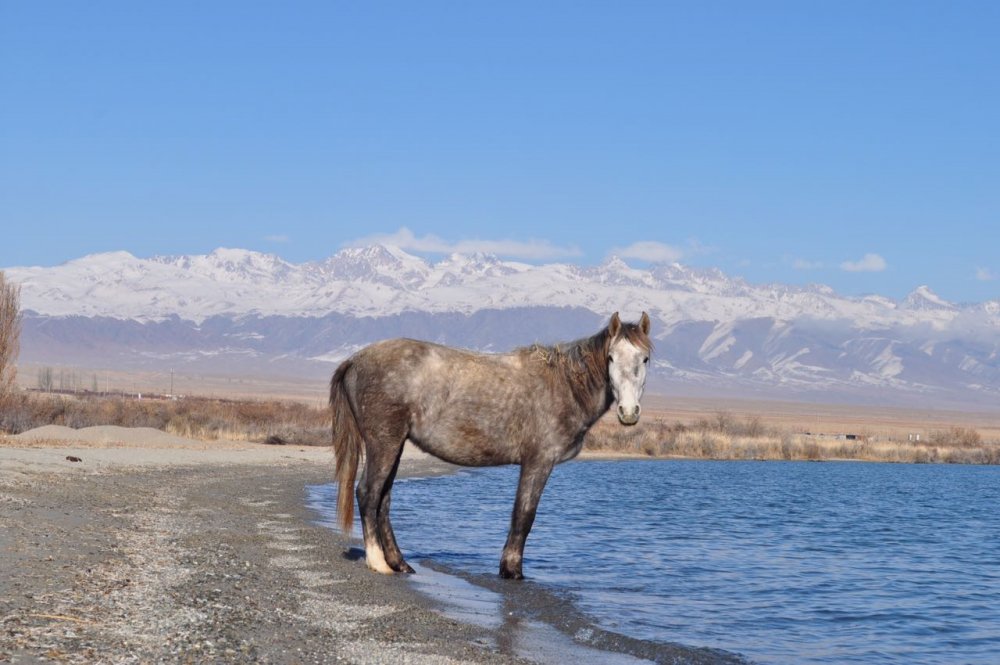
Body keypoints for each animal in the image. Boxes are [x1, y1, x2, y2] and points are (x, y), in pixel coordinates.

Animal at [332, 312, 652, 576]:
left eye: (645, 359)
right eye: (611, 358)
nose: (629, 412)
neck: (564, 385)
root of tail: (356, 359)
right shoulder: (538, 461)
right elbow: (524, 515)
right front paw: (511, 570)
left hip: (395, 445)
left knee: (383, 500)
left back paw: (399, 563)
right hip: (383, 442)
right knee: (368, 493)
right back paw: (378, 562)